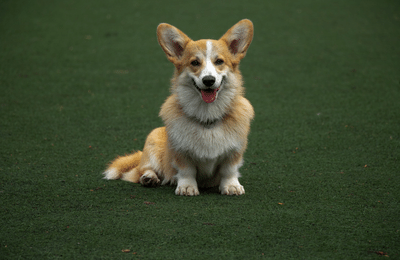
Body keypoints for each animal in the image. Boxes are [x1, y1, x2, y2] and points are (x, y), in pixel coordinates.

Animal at [102, 19, 253, 196]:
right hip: (152, 142)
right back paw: (149, 178)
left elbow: (229, 170)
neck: (207, 116)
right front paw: (187, 187)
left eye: (219, 62)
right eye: (195, 63)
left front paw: (231, 186)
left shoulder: (234, 151)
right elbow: (186, 171)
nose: (208, 80)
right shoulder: (181, 152)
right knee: (143, 169)